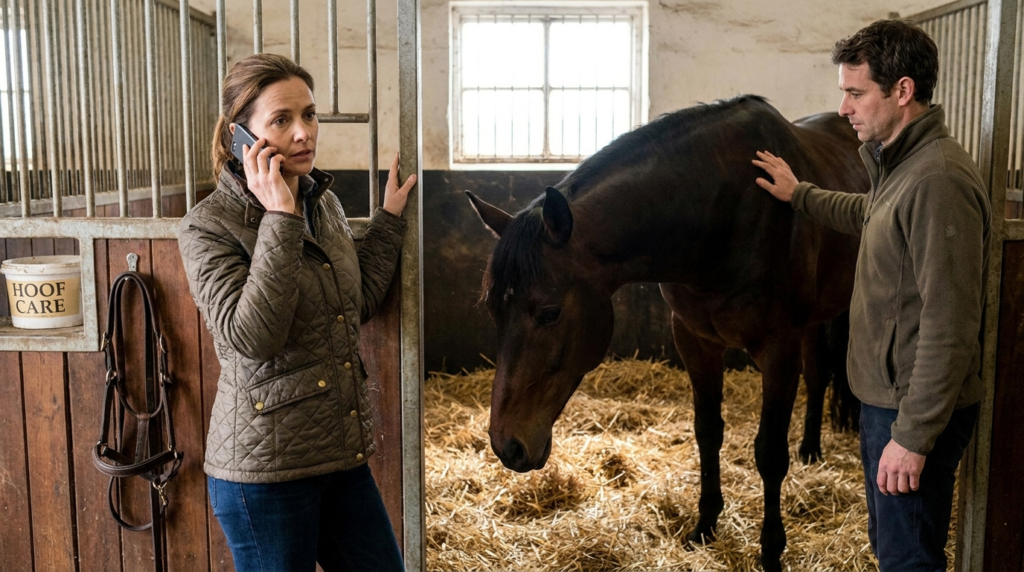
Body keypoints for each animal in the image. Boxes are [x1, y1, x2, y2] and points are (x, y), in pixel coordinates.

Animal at [466, 95, 868, 572]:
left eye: (549, 313)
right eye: (493, 310)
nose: (506, 446)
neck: (726, 212)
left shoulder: (777, 348)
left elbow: (769, 453)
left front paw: (771, 551)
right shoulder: (695, 340)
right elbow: (708, 432)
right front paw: (705, 526)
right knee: (818, 374)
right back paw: (810, 448)